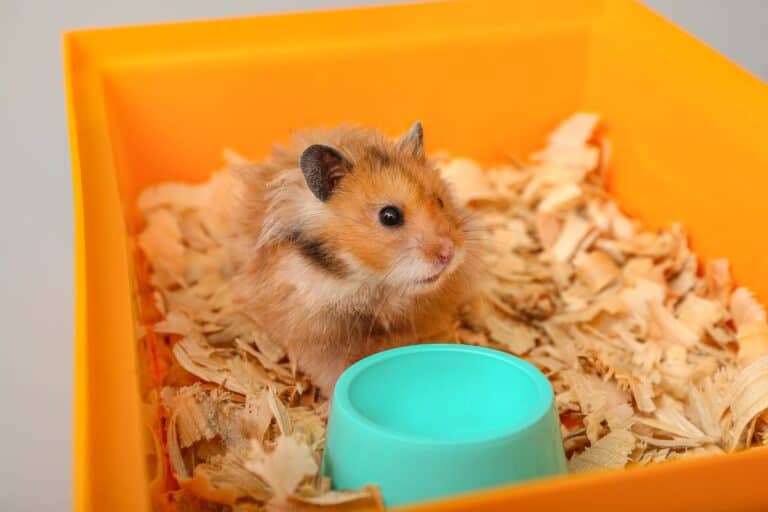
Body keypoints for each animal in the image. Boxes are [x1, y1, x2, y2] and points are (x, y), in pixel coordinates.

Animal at [233, 122, 482, 395]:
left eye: (439, 200)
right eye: (389, 216)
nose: (448, 253)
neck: (371, 285)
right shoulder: (319, 340)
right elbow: (332, 373)